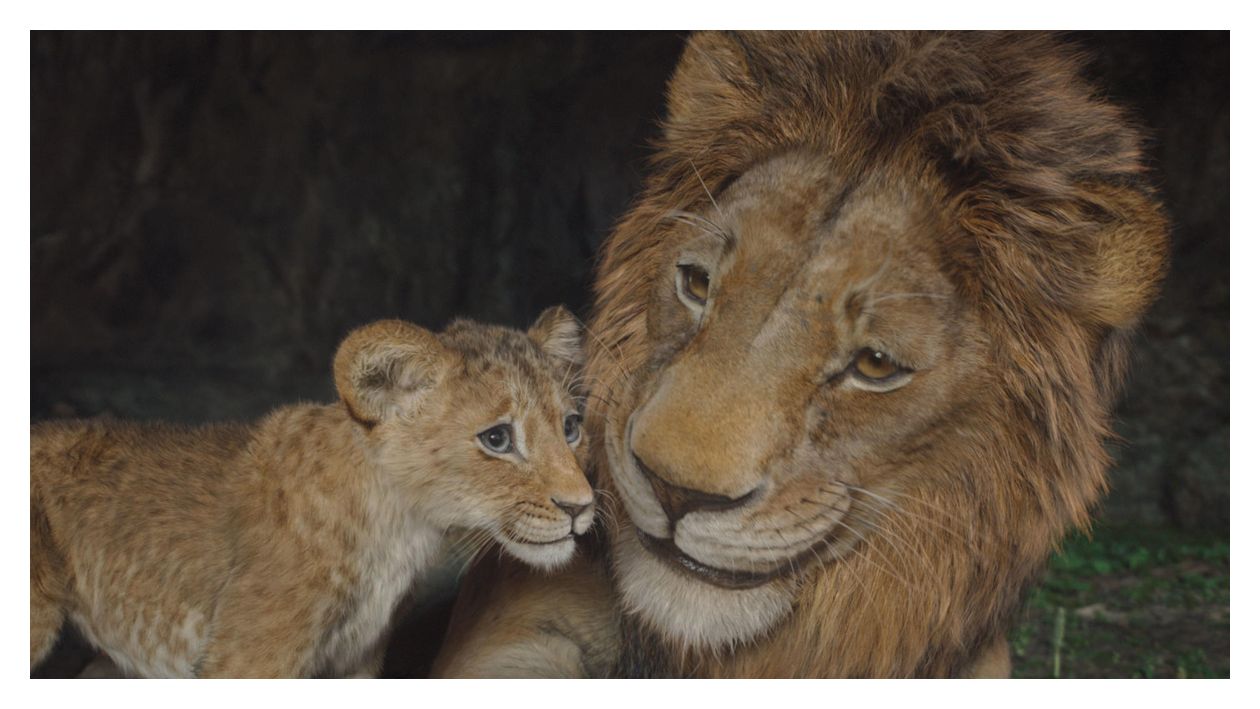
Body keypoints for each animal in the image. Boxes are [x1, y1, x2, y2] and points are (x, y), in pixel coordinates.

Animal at [31, 308, 594, 677]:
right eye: (497, 439)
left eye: (570, 428)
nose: (581, 507)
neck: (399, 530)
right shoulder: (250, 659)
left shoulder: (357, 661)